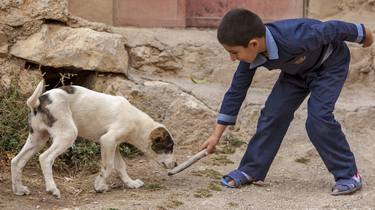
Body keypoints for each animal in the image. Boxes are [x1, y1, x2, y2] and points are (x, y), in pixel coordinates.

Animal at [10, 79, 178, 198]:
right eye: (169, 147)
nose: (176, 164)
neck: (138, 123)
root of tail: (39, 101)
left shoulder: (113, 144)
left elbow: (121, 166)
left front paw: (130, 183)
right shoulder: (108, 140)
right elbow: (108, 166)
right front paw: (99, 186)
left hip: (37, 138)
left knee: (16, 161)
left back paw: (18, 189)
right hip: (67, 134)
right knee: (45, 158)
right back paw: (52, 189)